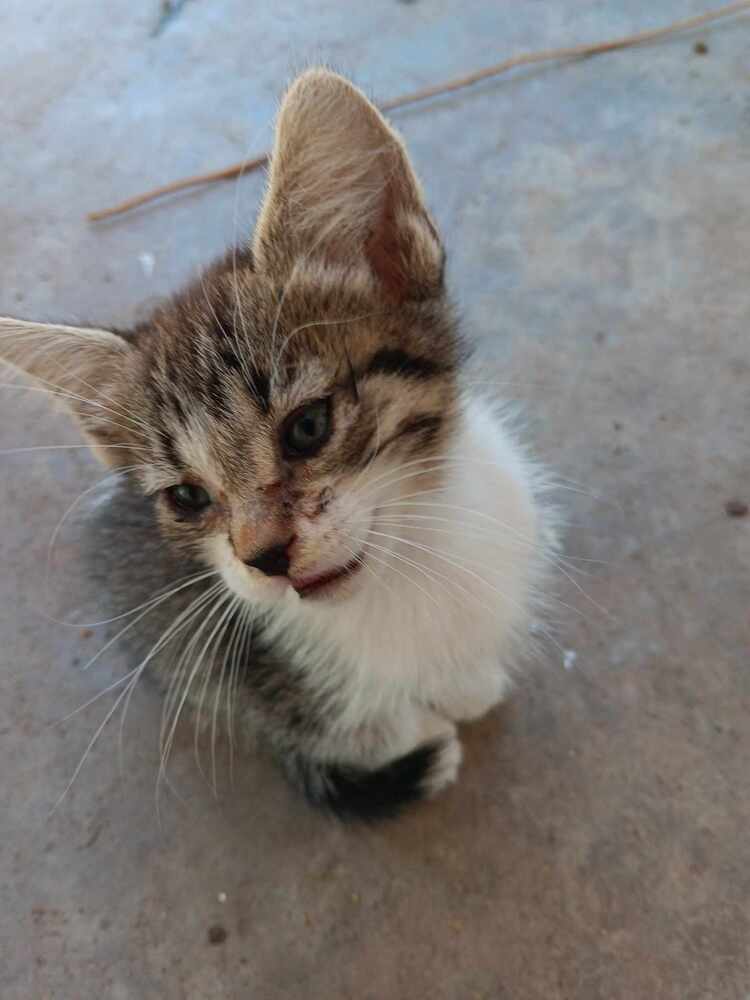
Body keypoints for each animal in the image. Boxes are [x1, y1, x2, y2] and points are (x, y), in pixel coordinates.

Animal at [0, 70, 560, 820]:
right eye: (187, 496)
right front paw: (416, 730)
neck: (407, 573)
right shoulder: (243, 659)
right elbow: (332, 717)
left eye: (308, 427)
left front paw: (468, 683)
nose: (263, 556)